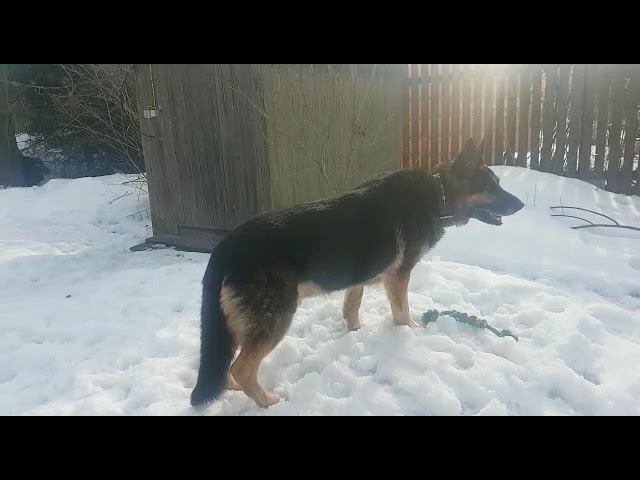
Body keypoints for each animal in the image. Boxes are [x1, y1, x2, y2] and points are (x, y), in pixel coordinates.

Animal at [190, 138, 524, 409]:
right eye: (491, 187)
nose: (521, 204)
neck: (438, 192)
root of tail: (225, 247)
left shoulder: (359, 279)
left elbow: (352, 307)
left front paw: (355, 333)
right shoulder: (399, 277)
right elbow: (402, 312)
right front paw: (411, 332)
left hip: (237, 322)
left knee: (225, 361)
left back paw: (231, 389)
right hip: (275, 318)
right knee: (241, 366)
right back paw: (266, 401)